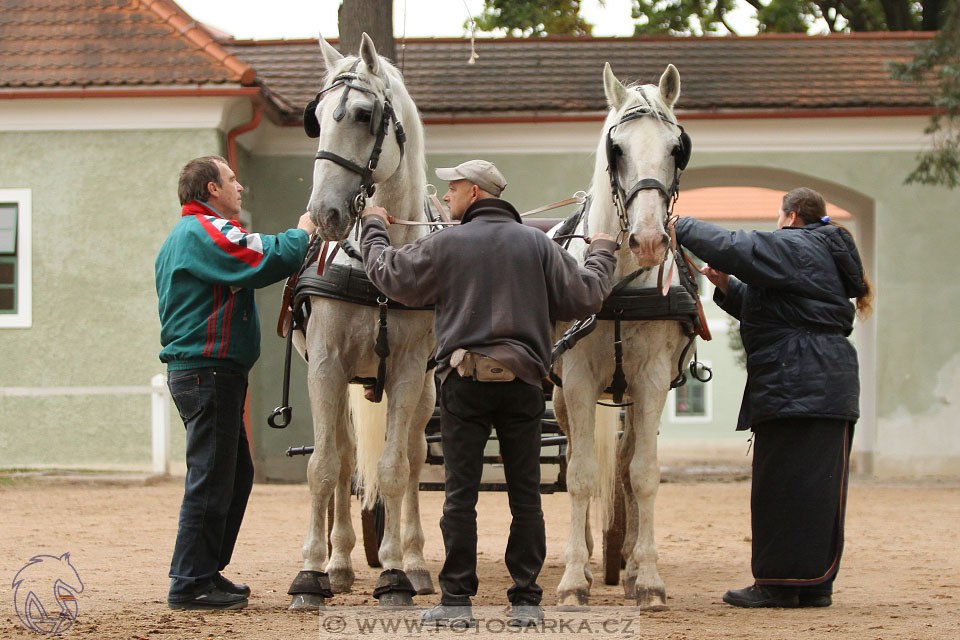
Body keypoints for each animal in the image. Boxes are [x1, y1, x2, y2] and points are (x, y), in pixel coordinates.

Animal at [284, 33, 436, 608]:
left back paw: (414, 562)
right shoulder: (325, 366)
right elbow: (323, 467)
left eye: (364, 115)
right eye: (317, 117)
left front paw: (394, 573)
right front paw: (312, 572)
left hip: (426, 389)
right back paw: (341, 562)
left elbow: (394, 469)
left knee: (414, 457)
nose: (324, 215)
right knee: (346, 459)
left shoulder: (410, 371)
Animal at [552, 65, 692, 608]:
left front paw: (647, 577)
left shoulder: (651, 379)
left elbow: (643, 475)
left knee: (631, 461)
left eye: (676, 148)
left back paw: (628, 561)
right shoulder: (576, 379)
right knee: (578, 454)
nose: (650, 240)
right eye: (617, 149)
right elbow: (581, 476)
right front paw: (574, 579)